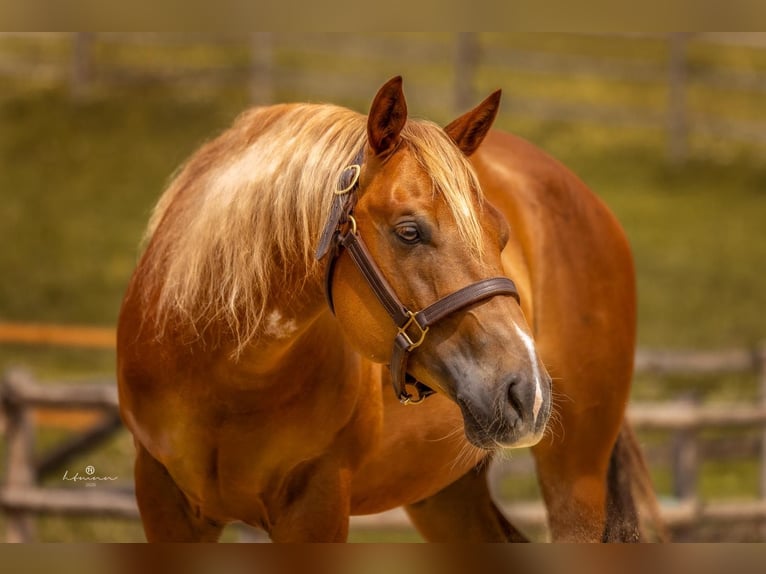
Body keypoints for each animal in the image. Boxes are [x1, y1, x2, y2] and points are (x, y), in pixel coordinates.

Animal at [116, 76, 662, 542]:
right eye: (408, 231)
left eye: (501, 233)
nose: (525, 393)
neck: (224, 367)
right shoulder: (162, 496)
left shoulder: (316, 506)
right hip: (444, 494)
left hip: (575, 476)